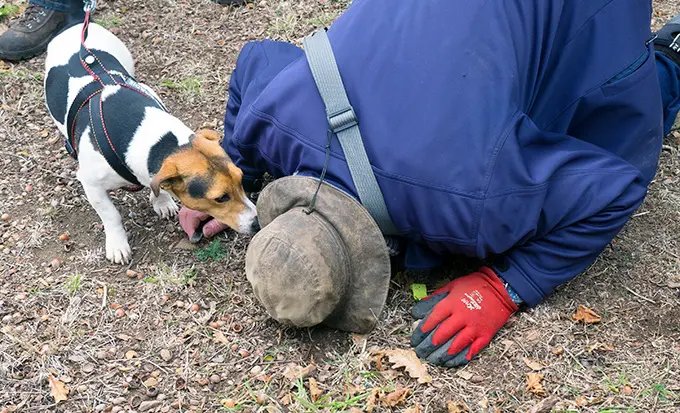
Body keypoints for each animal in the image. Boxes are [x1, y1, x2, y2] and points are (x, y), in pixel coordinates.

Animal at [43, 21, 258, 264]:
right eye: (221, 198)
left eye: (241, 180)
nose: (257, 223)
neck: (149, 136)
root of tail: (77, 25)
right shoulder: (91, 184)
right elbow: (111, 215)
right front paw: (117, 245)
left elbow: (157, 186)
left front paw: (162, 201)